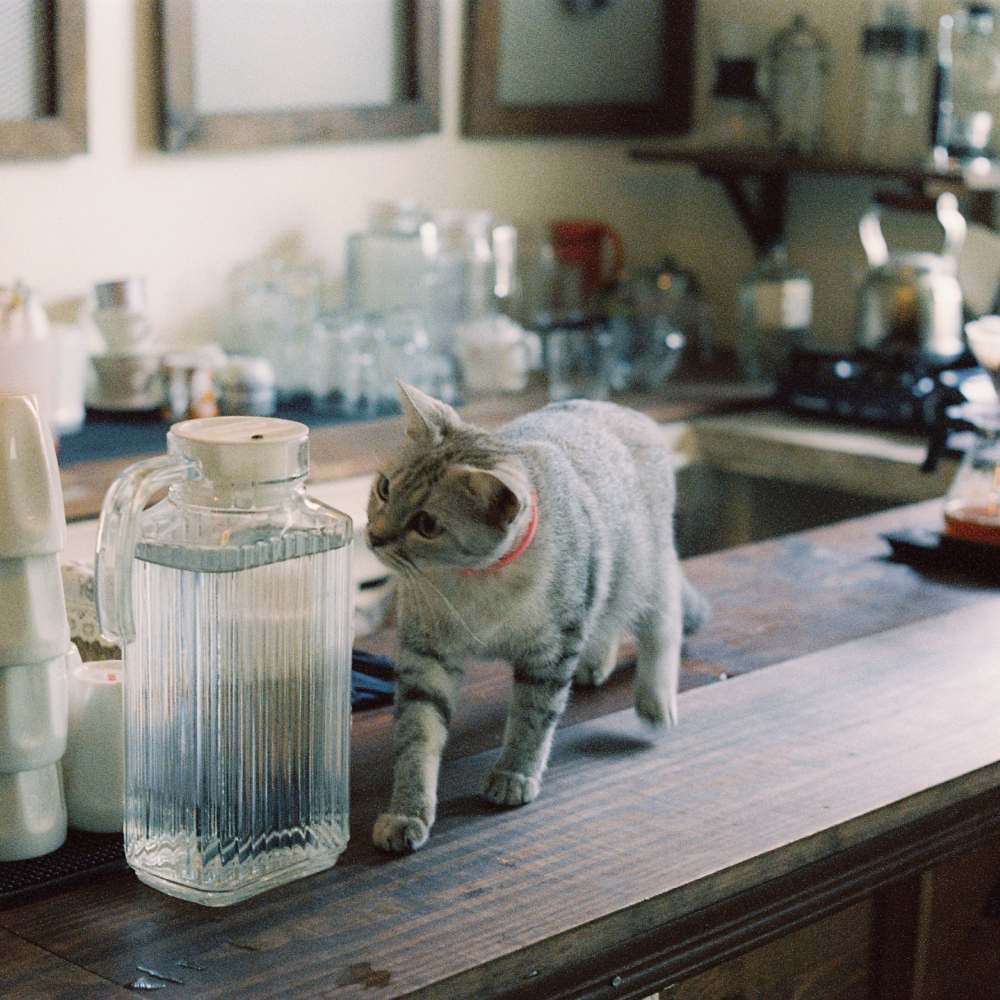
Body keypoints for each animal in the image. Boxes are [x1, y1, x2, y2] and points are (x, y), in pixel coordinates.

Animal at [370, 382, 712, 852]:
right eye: (384, 488)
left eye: (426, 524)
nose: (373, 536)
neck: (475, 583)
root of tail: (627, 410)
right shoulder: (425, 656)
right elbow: (417, 737)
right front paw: (407, 811)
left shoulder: (553, 649)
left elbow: (532, 720)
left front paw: (514, 773)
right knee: (605, 620)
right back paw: (595, 663)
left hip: (645, 569)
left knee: (663, 623)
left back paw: (655, 698)